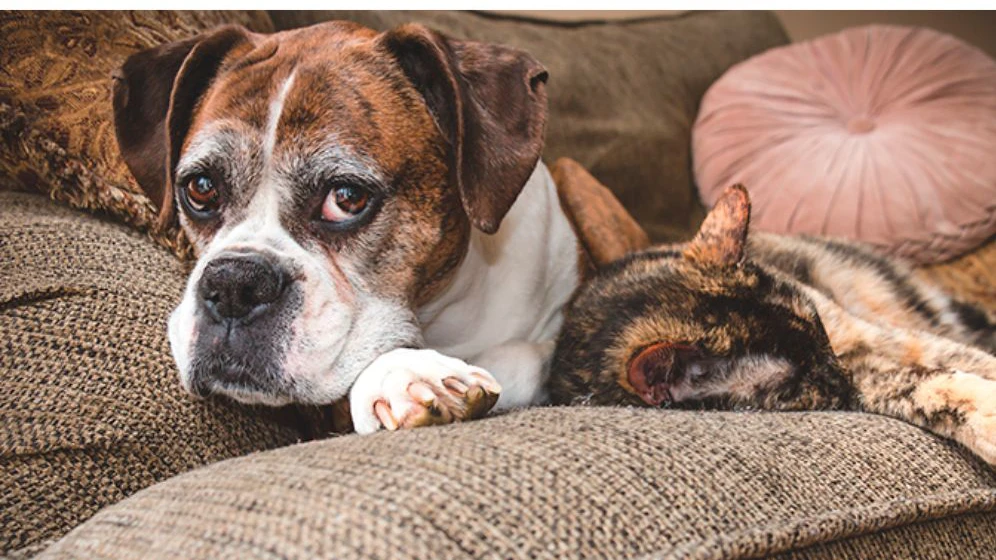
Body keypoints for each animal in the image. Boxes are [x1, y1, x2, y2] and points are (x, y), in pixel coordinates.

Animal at [111, 20, 640, 434]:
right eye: (200, 188)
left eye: (346, 198)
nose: (234, 284)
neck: (449, 311)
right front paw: (404, 371)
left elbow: (536, 352)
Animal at [548, 184, 996, 464]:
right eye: (798, 383)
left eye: (819, 328)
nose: (840, 374)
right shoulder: (868, 376)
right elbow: (926, 386)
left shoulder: (876, 336)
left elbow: (963, 357)